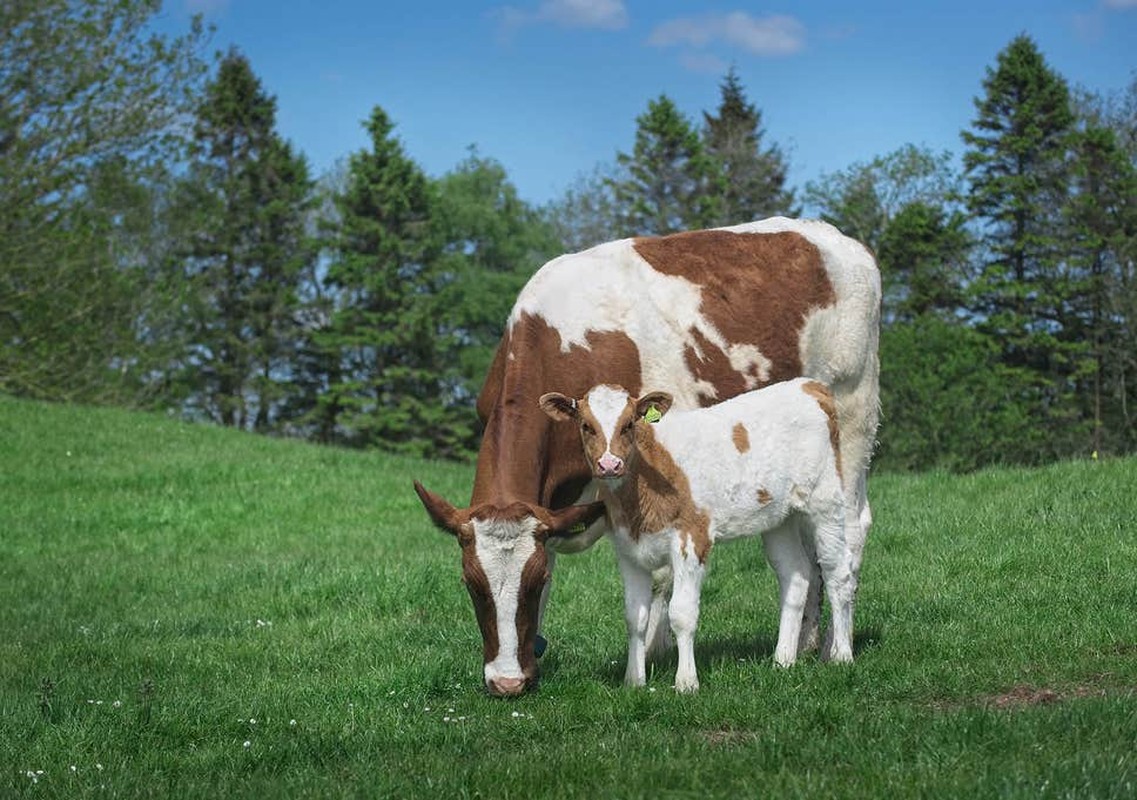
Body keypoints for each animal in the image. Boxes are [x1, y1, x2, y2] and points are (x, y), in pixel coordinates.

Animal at [538, 377, 855, 690]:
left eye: (629, 424)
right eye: (586, 426)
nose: (609, 464)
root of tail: (810, 386)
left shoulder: (691, 537)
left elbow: (682, 613)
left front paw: (686, 682)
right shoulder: (628, 549)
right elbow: (634, 616)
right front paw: (634, 681)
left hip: (825, 500)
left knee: (838, 573)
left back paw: (841, 655)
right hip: (779, 518)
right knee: (795, 574)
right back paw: (783, 660)